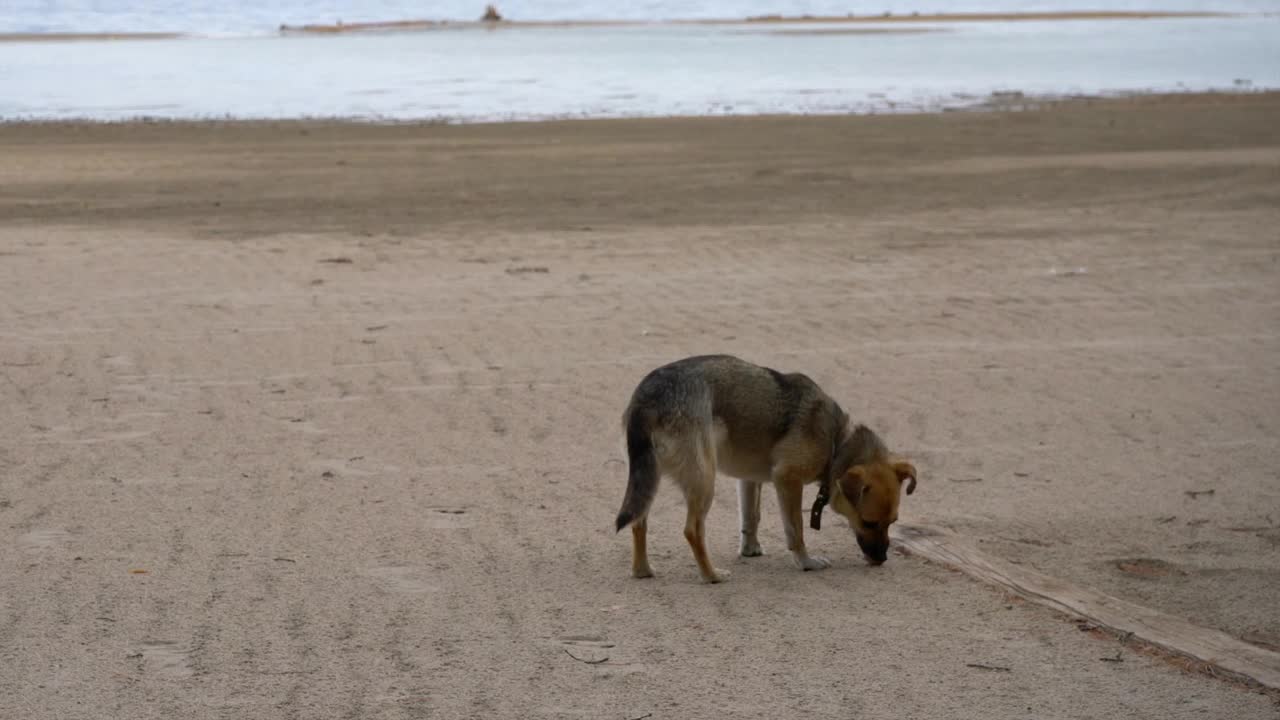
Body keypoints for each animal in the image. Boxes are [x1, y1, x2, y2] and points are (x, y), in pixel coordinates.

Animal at [614, 353, 916, 584]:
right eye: (869, 522)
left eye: (893, 522)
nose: (882, 558)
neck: (836, 442)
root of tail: (647, 398)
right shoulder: (788, 480)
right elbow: (796, 530)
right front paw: (805, 562)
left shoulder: (749, 481)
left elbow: (751, 518)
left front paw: (750, 549)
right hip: (703, 480)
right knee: (692, 530)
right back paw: (711, 575)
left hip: (651, 478)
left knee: (639, 521)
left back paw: (642, 570)